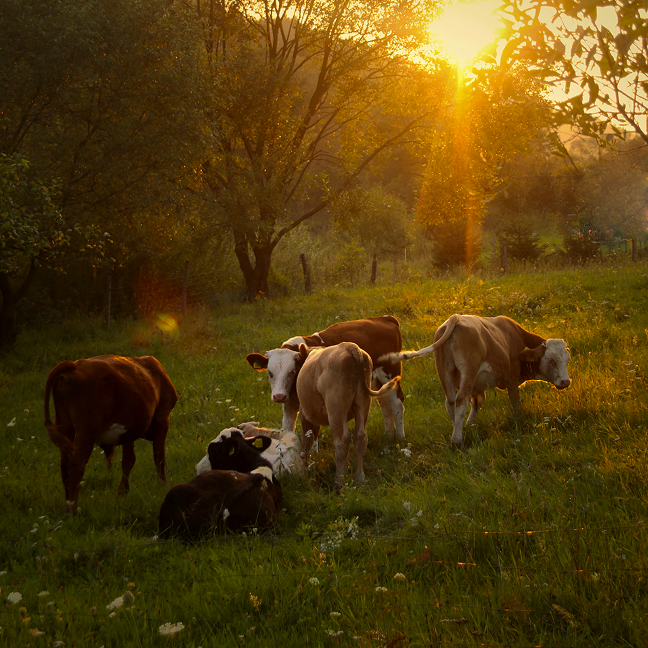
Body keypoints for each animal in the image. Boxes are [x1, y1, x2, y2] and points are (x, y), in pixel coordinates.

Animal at [44, 354, 178, 514]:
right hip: (87, 431)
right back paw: (73, 510)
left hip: (65, 426)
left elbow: (128, 460)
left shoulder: (129, 431)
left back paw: (67, 504)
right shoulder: (162, 419)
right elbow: (159, 457)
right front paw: (162, 485)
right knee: (77, 466)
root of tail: (73, 366)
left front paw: (123, 492)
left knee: (65, 466)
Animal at [246, 315, 405, 440]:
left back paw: (400, 438)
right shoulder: (289, 404)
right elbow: (287, 430)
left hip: (390, 373)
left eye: (292, 371)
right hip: (377, 381)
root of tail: (385, 318)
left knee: (397, 403)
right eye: (270, 372)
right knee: (385, 403)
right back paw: (389, 436)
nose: (278, 396)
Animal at [295, 341, 400, 489]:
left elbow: (305, 442)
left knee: (342, 440)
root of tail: (349, 346)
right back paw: (359, 478)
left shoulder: (305, 415)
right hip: (363, 402)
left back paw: (339, 482)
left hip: (335, 407)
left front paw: (302, 471)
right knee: (361, 436)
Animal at [380, 315, 571, 447]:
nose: (566, 382)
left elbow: (478, 401)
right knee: (461, 400)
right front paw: (518, 420)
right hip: (468, 369)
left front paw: (469, 424)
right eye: (551, 360)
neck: (514, 335)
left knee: (451, 402)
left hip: (445, 371)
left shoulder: (477, 386)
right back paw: (457, 440)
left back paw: (456, 430)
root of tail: (455, 318)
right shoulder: (511, 377)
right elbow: (515, 402)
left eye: (567, 360)